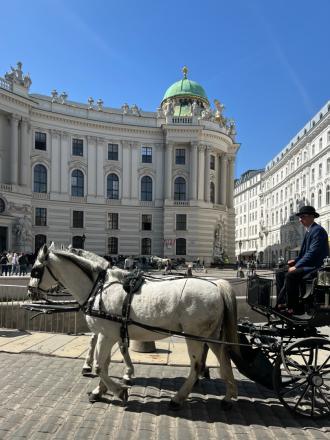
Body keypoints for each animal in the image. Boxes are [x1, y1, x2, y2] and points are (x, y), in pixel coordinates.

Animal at [28, 246, 238, 408]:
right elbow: (105, 363)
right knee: (224, 359)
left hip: (194, 335)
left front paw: (118, 390)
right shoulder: (110, 334)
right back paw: (228, 396)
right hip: (211, 335)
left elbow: (100, 365)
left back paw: (178, 398)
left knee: (196, 366)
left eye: (36, 270)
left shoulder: (106, 334)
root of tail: (216, 285)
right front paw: (101, 389)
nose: (30, 291)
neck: (100, 287)